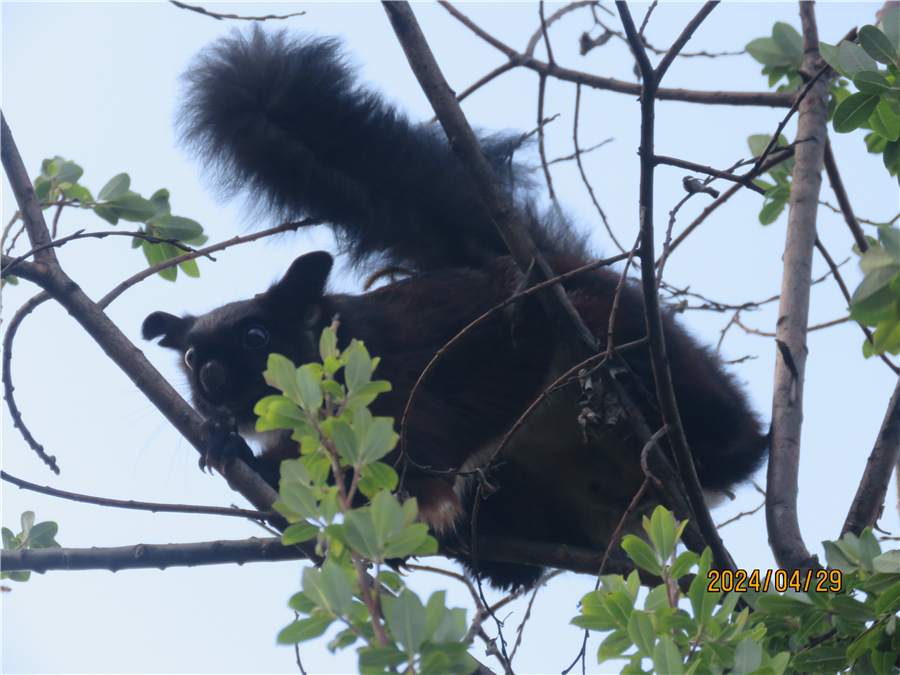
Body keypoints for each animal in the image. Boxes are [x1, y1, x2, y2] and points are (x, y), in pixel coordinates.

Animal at [141, 27, 768, 592]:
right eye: (189, 355)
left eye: (257, 336)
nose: (212, 377)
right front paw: (226, 442)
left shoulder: (393, 391)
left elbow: (406, 473)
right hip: (528, 486)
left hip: (619, 335)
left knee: (718, 428)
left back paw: (653, 400)